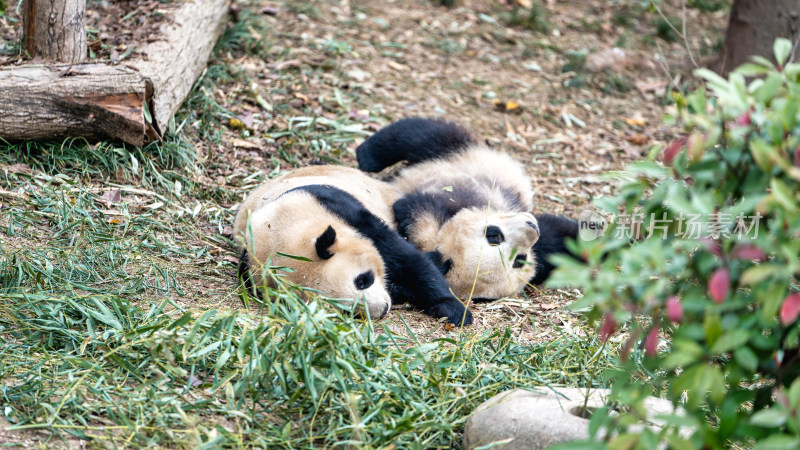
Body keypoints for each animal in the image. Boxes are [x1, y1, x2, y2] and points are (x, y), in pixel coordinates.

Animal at [231, 163, 472, 326]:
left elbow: (406, 260)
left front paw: (452, 309)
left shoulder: (338, 207)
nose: (383, 309)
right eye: (347, 309)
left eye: (362, 280)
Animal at [356, 118, 576, 300]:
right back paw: (366, 156)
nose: (532, 226)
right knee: (424, 135)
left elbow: (562, 238)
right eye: (495, 237)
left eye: (520, 260)